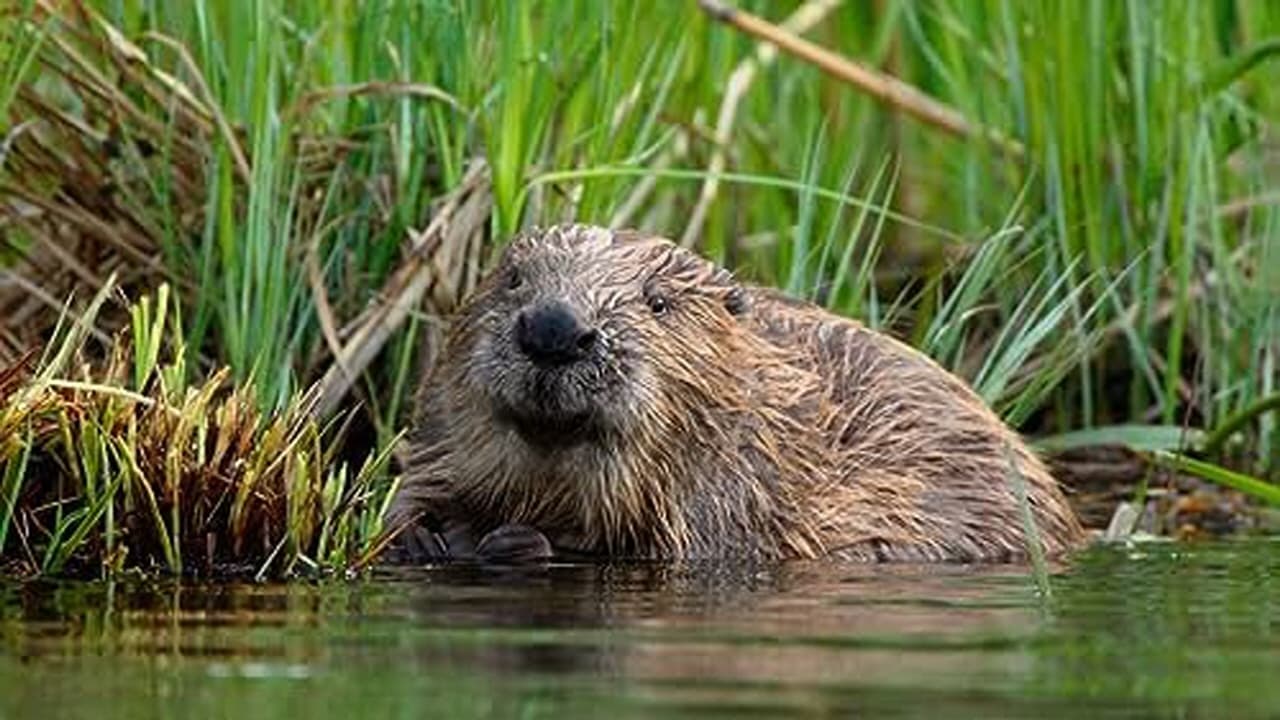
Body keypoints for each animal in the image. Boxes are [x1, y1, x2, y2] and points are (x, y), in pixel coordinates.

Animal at [384, 222, 1085, 561]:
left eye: (658, 302)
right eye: (512, 277)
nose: (554, 328)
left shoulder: (744, 488)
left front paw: (513, 541)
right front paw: (420, 535)